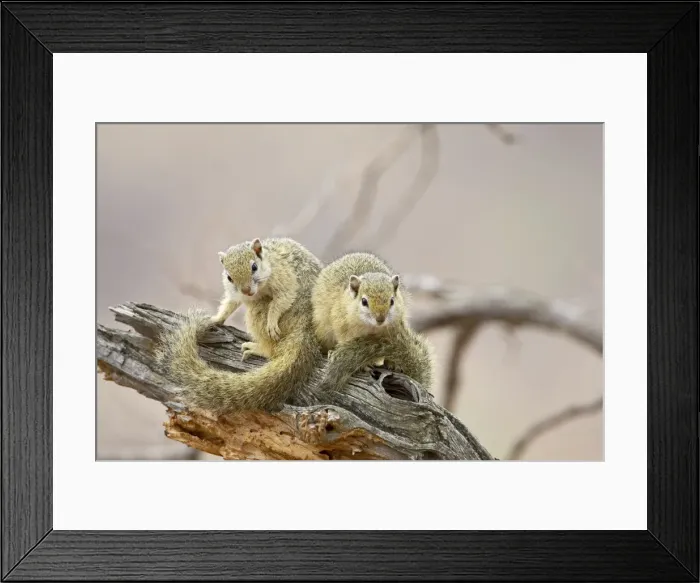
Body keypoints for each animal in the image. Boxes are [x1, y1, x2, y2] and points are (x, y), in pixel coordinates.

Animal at [154, 237, 324, 414]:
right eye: (229, 277)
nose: (247, 290)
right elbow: (230, 303)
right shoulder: (234, 293)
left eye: (254, 267)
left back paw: (258, 347)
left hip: (260, 313)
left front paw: (271, 320)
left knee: (271, 349)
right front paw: (216, 319)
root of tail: (304, 329)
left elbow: (282, 298)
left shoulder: (283, 277)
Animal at [311, 251, 436, 392]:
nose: (380, 319)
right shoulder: (342, 326)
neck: (372, 327)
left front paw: (394, 363)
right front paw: (364, 365)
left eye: (392, 301)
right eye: (364, 301)